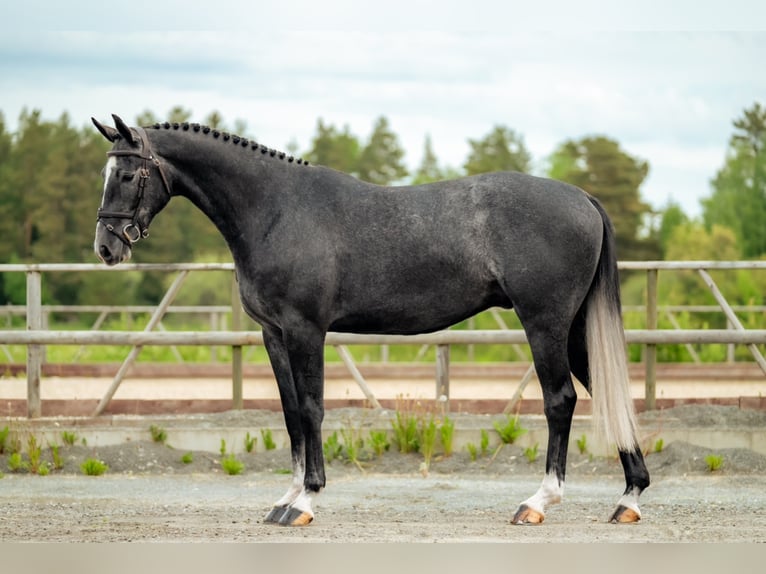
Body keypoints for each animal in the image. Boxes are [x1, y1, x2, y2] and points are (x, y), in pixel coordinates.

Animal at [93, 115, 652, 528]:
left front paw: (306, 502)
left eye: (128, 174)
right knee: (603, 391)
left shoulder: (305, 329)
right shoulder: (273, 334)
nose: (106, 248)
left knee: (560, 400)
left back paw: (537, 502)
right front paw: (284, 498)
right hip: (572, 328)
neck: (275, 210)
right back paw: (628, 499)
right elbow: (290, 413)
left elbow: (312, 409)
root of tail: (582, 198)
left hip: (544, 324)